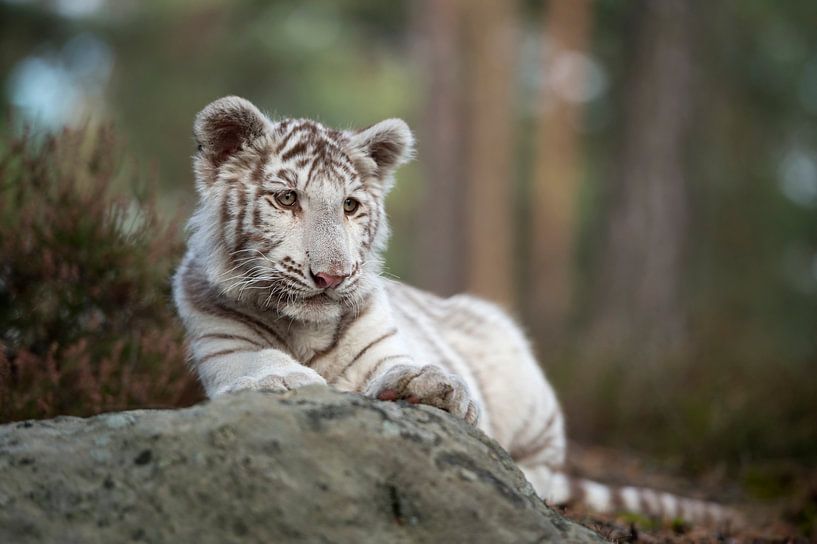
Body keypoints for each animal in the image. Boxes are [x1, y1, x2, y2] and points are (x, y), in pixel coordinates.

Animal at [173, 96, 736, 526]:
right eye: (287, 199)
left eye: (351, 206)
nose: (332, 277)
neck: (304, 329)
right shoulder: (226, 345)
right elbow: (261, 362)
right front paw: (288, 381)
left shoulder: (381, 346)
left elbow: (400, 365)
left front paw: (429, 386)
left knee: (545, 470)